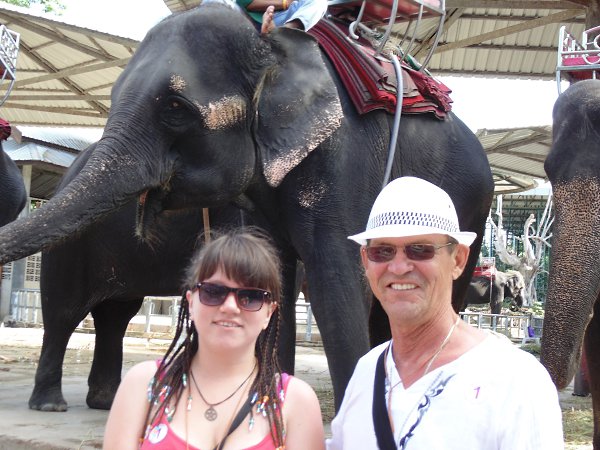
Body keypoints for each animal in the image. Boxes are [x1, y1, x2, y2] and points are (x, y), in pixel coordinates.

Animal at [0, 5, 494, 410]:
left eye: (175, 108)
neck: (273, 48)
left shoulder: (345, 157)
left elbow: (335, 279)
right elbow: (275, 273)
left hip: (473, 204)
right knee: (76, 314)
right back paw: (62, 406)